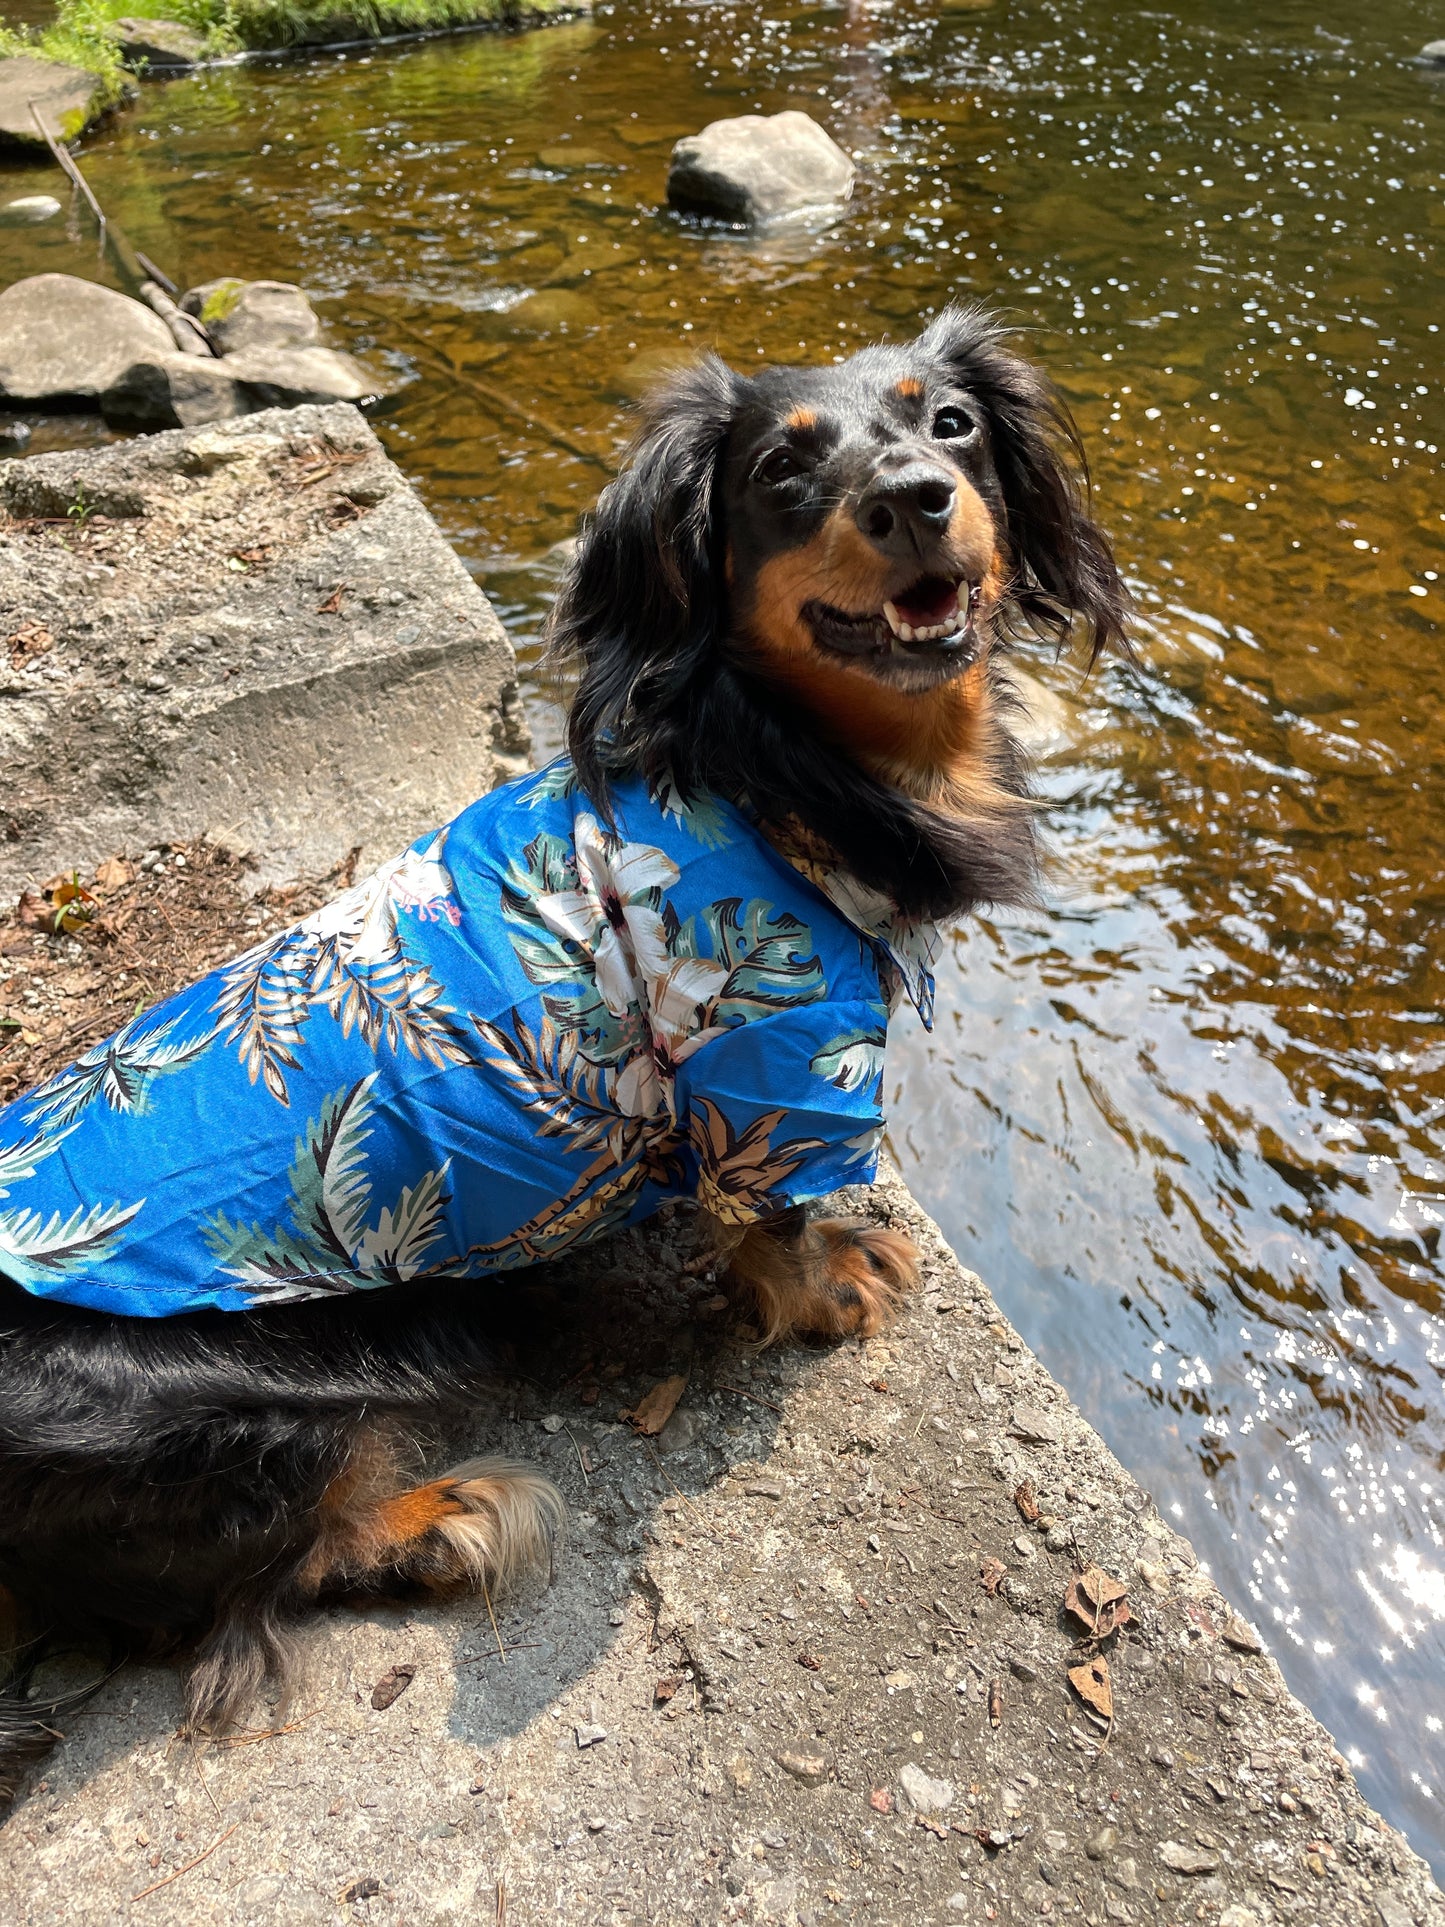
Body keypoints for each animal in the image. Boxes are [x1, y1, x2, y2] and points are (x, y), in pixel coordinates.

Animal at [0, 300, 1132, 1788]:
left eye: (947, 423)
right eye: (781, 472)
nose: (912, 497)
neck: (778, 768)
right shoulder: (784, 1070)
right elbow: (784, 1223)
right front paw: (831, 1290)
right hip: (278, 1395)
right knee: (257, 1573)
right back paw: (441, 1514)